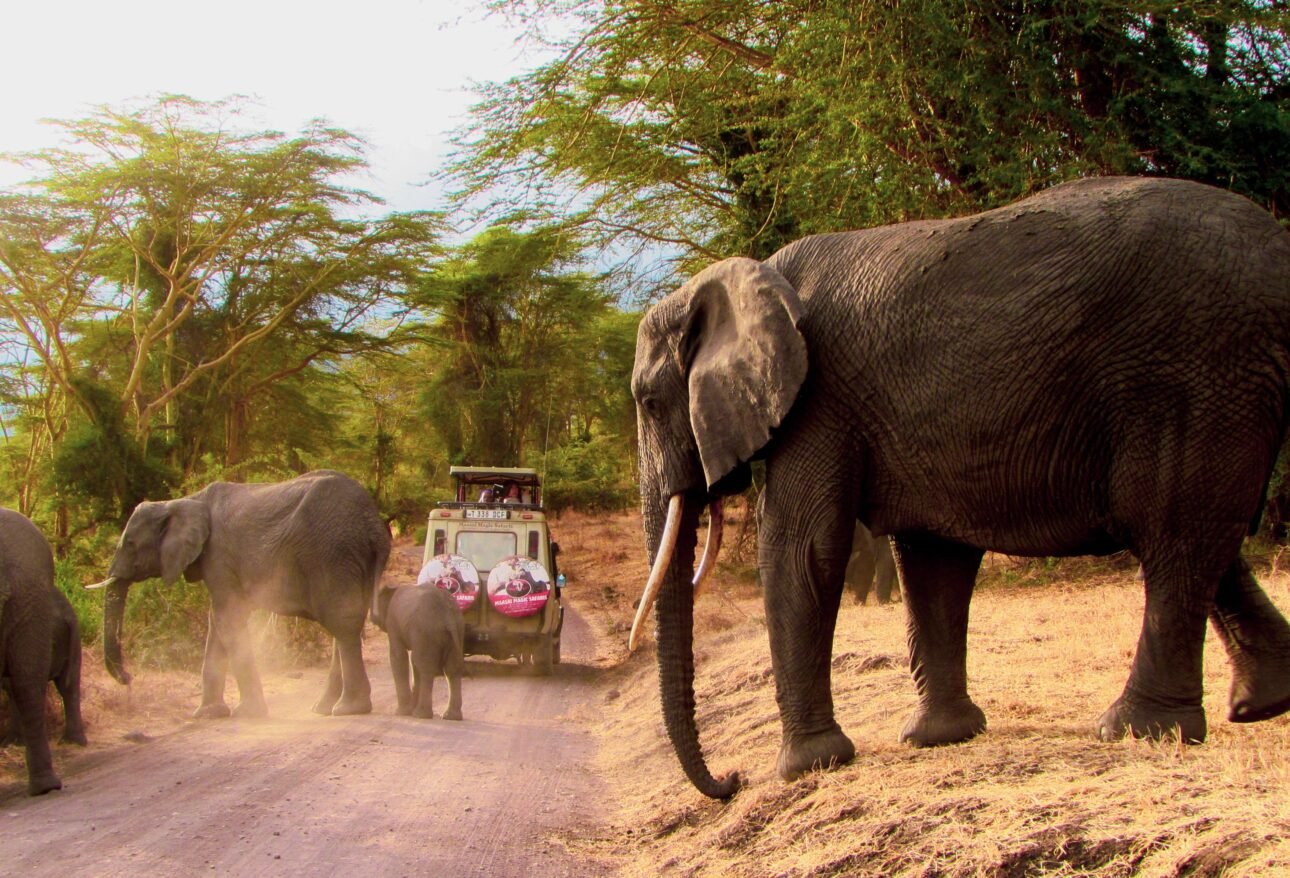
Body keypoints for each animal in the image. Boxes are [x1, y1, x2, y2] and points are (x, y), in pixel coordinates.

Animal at [90, 470, 390, 719]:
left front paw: (247, 713)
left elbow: (228, 619)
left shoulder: (219, 556)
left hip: (332, 554)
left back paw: (348, 709)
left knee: (342, 624)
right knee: (345, 626)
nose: (128, 678)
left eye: (130, 543)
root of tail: (373, 524)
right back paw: (323, 708)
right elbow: (216, 624)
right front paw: (208, 714)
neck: (183, 501)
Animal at [374, 584, 465, 721]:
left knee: (426, 669)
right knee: (452, 670)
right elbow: (413, 662)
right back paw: (451, 717)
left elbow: (399, 656)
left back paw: (421, 715)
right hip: (457, 631)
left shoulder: (393, 622)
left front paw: (401, 712)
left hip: (427, 631)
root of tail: (448, 615)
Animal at [628, 176, 1290, 799]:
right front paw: (941, 738)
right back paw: (1261, 704)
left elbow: (803, 549)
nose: (732, 780)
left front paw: (808, 767)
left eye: (649, 401)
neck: (744, 275)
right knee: (1206, 536)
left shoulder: (819, 399)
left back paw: (1136, 730)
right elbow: (931, 557)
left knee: (1173, 532)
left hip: (1195, 371)